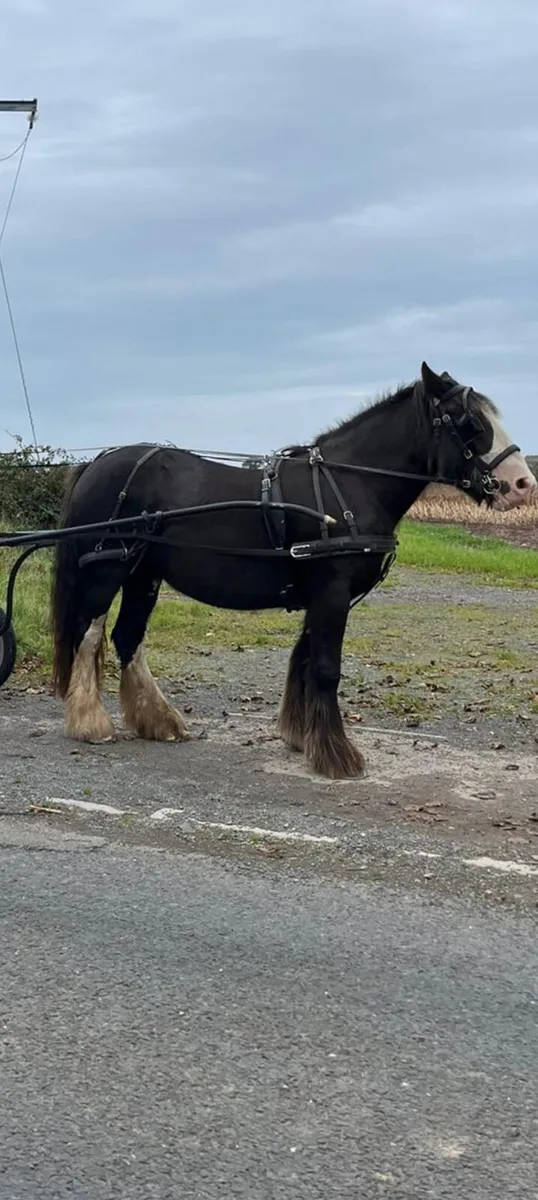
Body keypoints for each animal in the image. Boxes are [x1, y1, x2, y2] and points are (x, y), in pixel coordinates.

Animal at [50, 362, 536, 779]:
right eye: (469, 421)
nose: (522, 485)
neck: (347, 486)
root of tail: (97, 462)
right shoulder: (331, 593)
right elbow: (325, 669)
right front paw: (337, 755)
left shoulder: (325, 597)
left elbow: (303, 660)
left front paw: (303, 738)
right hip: (106, 571)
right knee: (88, 635)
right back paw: (90, 723)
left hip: (143, 576)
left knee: (127, 637)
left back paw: (158, 720)